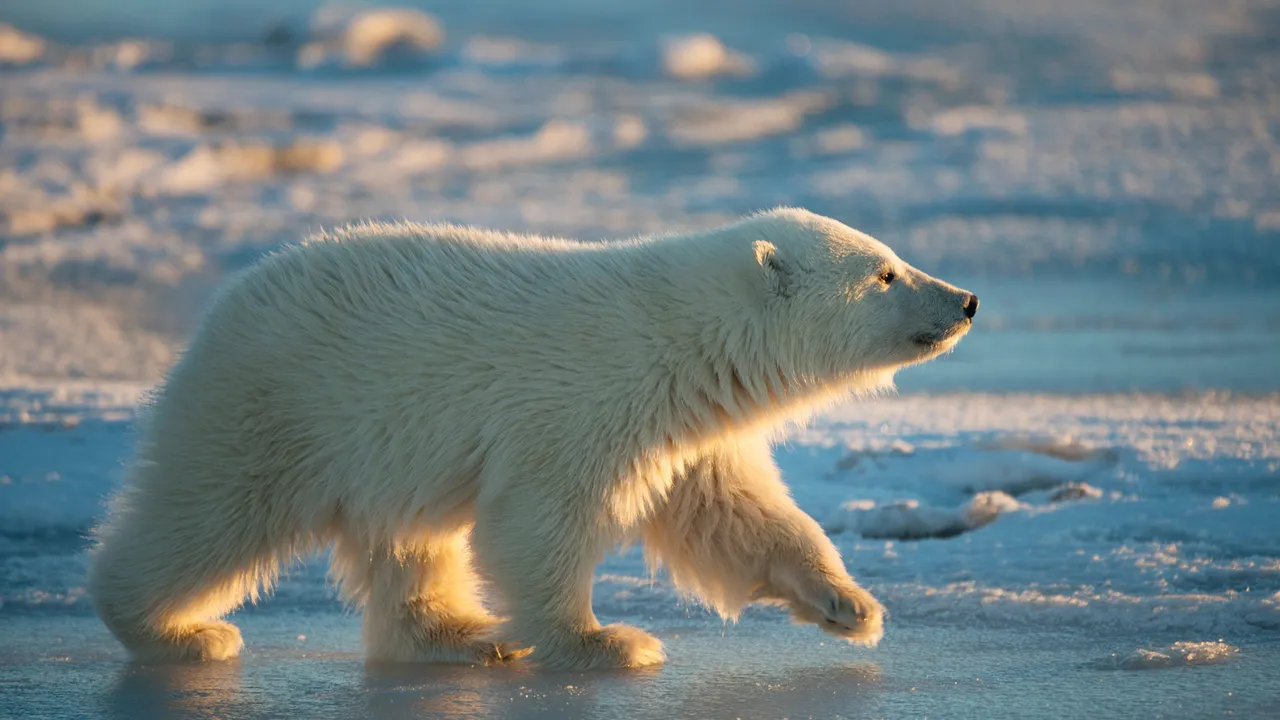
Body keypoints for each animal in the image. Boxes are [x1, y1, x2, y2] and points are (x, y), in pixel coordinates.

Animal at [87, 208, 978, 670]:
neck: (683, 336)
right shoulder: (585, 402)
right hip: (276, 404)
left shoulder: (688, 428)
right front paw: (607, 642)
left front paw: (851, 605)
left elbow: (735, 517)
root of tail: (223, 303)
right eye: (885, 273)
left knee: (410, 541)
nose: (967, 300)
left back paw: (463, 636)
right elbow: (538, 524)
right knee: (210, 516)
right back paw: (179, 631)